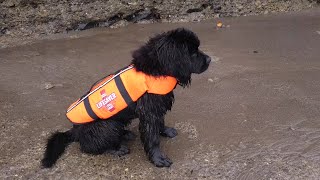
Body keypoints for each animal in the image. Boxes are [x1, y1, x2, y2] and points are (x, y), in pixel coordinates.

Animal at [41, 27, 211, 167]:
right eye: (193, 53)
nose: (209, 59)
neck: (157, 69)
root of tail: (74, 131)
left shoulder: (157, 105)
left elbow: (160, 123)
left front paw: (166, 131)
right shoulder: (149, 112)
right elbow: (152, 138)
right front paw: (158, 159)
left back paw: (126, 134)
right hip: (107, 125)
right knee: (89, 146)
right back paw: (117, 149)